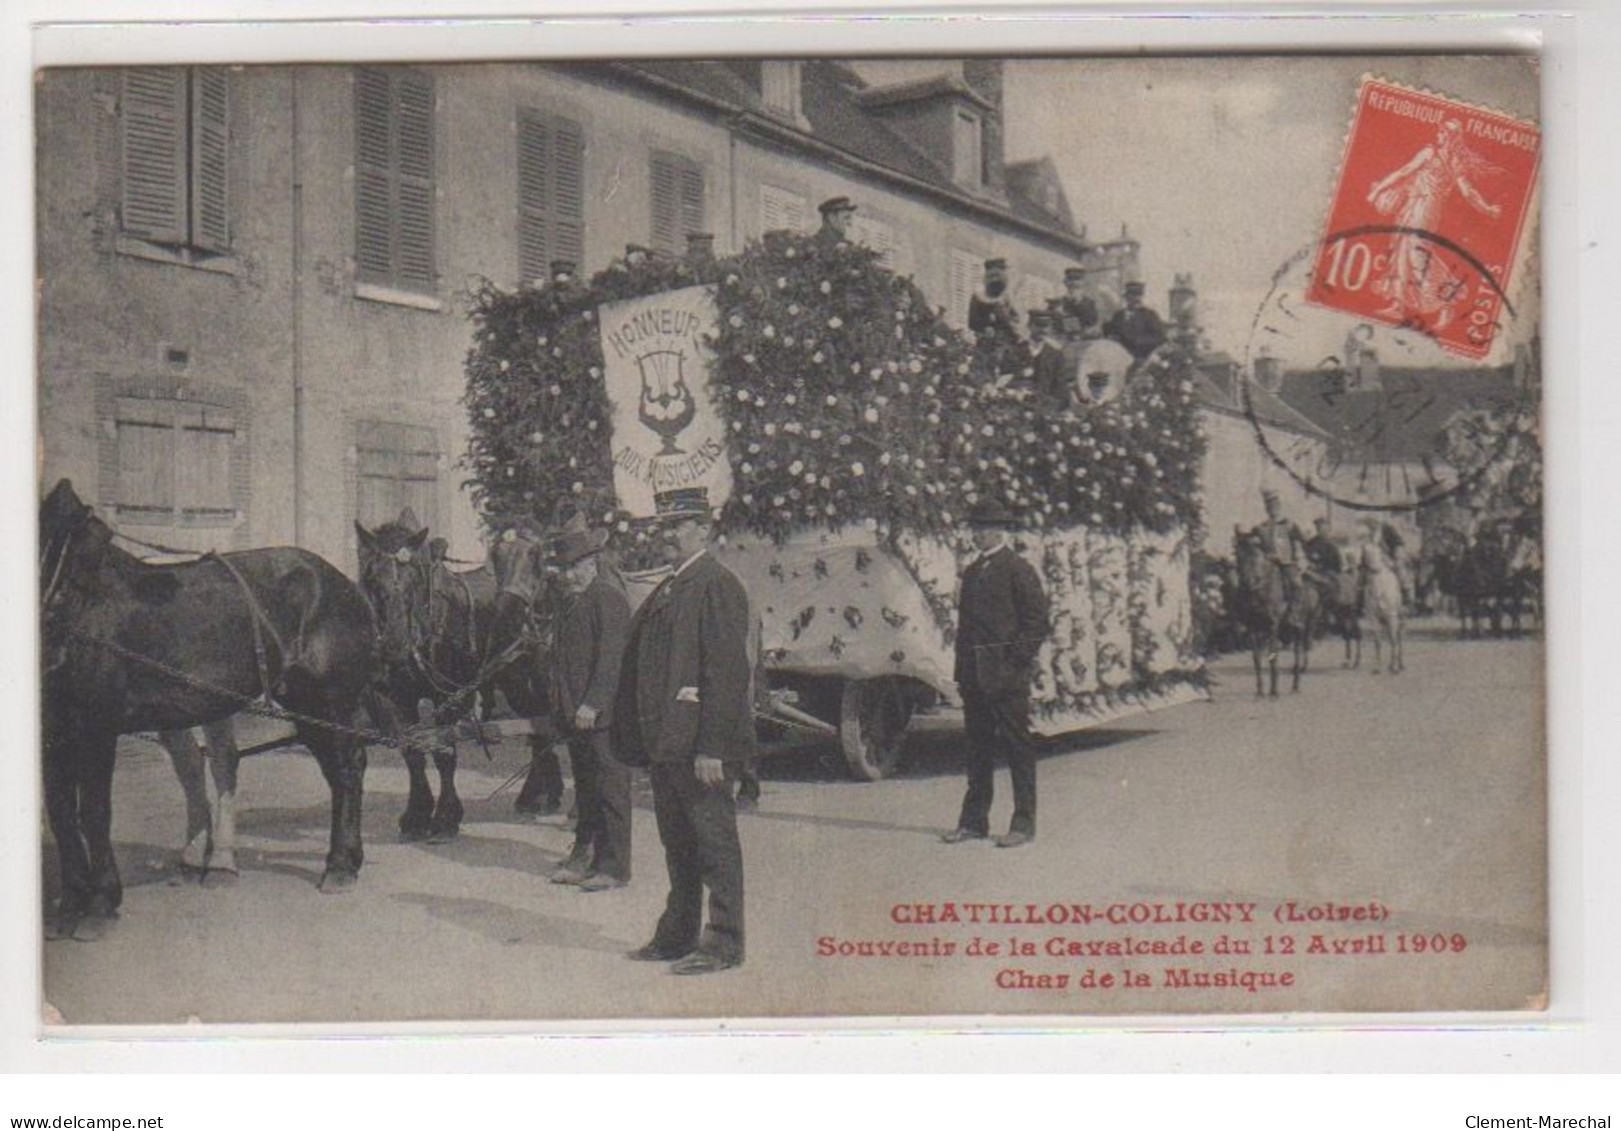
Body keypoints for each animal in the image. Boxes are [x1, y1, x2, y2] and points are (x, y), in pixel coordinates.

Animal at [41, 476, 379, 933]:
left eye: (60, 552)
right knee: (340, 773)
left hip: (332, 701)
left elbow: (93, 811)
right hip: (305, 705)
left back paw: (339, 867)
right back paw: (345, 860)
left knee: (346, 770)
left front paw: (100, 906)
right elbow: (60, 814)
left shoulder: (97, 726)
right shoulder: (54, 731)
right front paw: (70, 906)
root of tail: (347, 586)